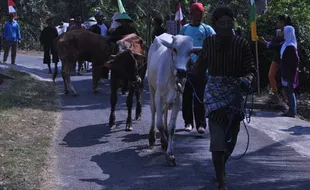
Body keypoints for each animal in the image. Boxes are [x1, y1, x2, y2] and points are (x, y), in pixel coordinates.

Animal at [148, 33, 201, 166]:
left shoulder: (178, 99)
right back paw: (152, 137)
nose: (181, 72)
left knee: (165, 111)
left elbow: (172, 127)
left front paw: (170, 154)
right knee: (153, 111)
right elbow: (159, 124)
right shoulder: (158, 96)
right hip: (151, 89)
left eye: (190, 52)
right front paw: (164, 142)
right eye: (174, 49)